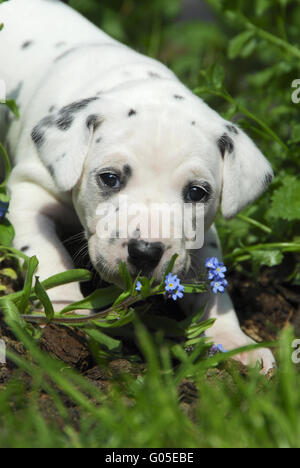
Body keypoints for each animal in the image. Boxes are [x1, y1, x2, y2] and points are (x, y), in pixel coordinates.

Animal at [0, 0, 276, 372]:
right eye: (110, 178)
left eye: (196, 193)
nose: (145, 251)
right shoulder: (30, 191)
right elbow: (48, 255)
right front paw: (62, 306)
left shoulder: (201, 237)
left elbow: (213, 286)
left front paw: (234, 340)